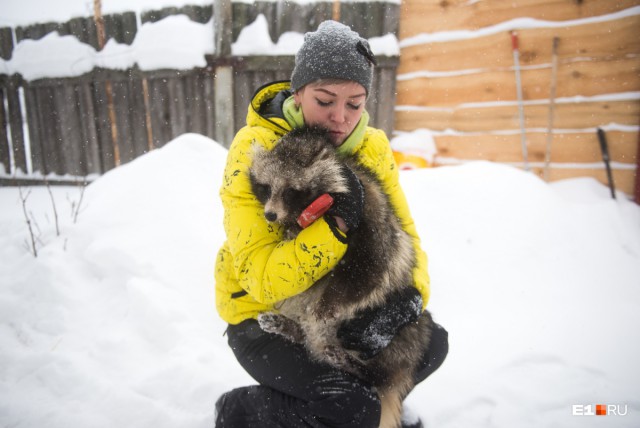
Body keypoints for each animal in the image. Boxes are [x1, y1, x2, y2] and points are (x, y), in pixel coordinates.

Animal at [248, 126, 432, 428]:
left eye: (291, 190)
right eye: (267, 187)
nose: (270, 215)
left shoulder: (369, 212)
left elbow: (368, 269)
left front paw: (327, 306)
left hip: (402, 333)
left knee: (387, 362)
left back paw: (355, 364)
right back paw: (296, 329)